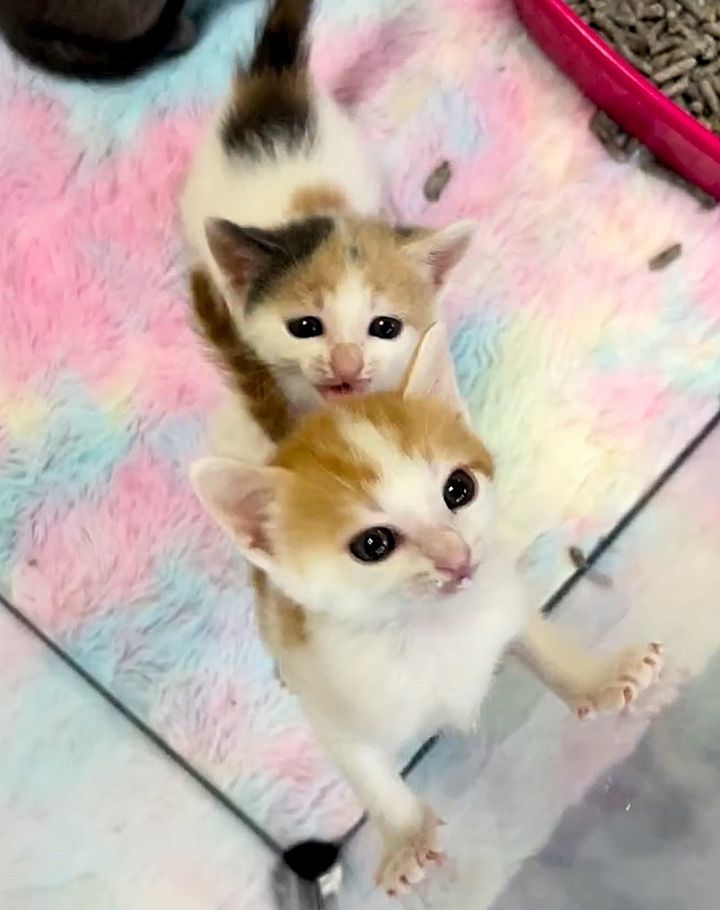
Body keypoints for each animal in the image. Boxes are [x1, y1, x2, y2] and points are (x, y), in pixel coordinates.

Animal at [191, 324, 664, 896]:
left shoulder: (497, 591)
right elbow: (366, 773)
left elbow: (536, 636)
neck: (431, 629)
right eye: (373, 544)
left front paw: (594, 677)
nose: (455, 555)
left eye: (458, 489)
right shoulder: (331, 697)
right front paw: (407, 836)